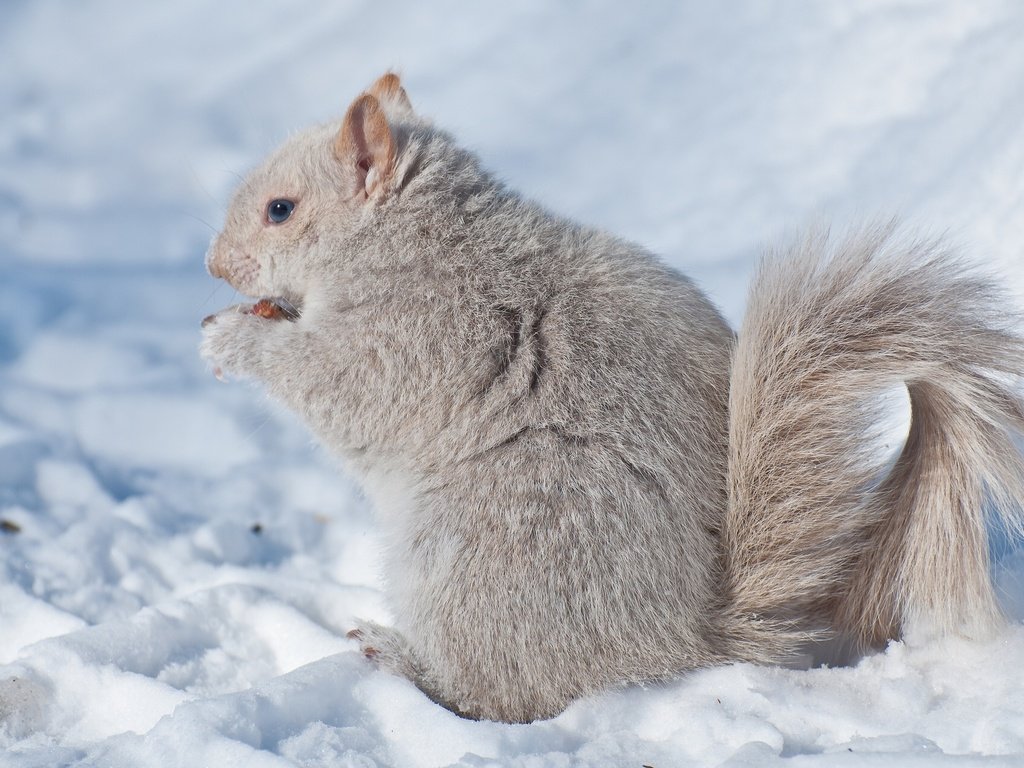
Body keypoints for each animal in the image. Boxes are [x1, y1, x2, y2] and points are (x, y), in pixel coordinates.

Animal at [199, 73, 1024, 729]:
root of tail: (686, 637)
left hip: (488, 548)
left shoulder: (420, 335)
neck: (409, 240)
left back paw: (401, 658)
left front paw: (229, 339)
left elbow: (337, 386)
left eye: (280, 209)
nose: (212, 264)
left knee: (498, 694)